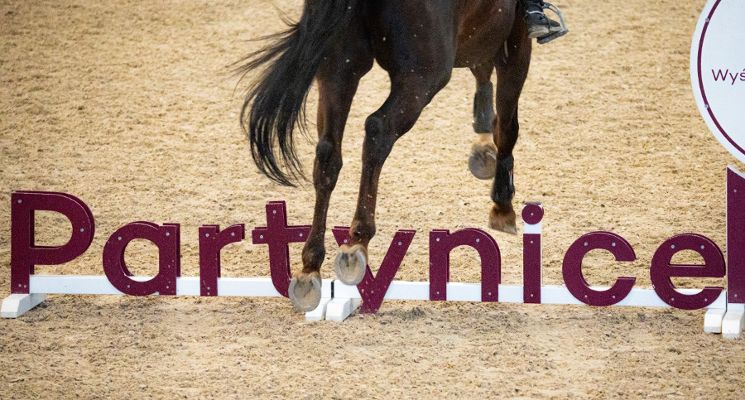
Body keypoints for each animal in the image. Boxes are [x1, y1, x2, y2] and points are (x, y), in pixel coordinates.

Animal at [237, 0, 532, 312]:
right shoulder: (517, 41)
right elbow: (507, 127)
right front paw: (502, 204)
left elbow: (482, 72)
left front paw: (483, 143)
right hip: (421, 77)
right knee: (378, 131)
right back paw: (356, 243)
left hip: (339, 69)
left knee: (328, 152)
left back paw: (310, 268)